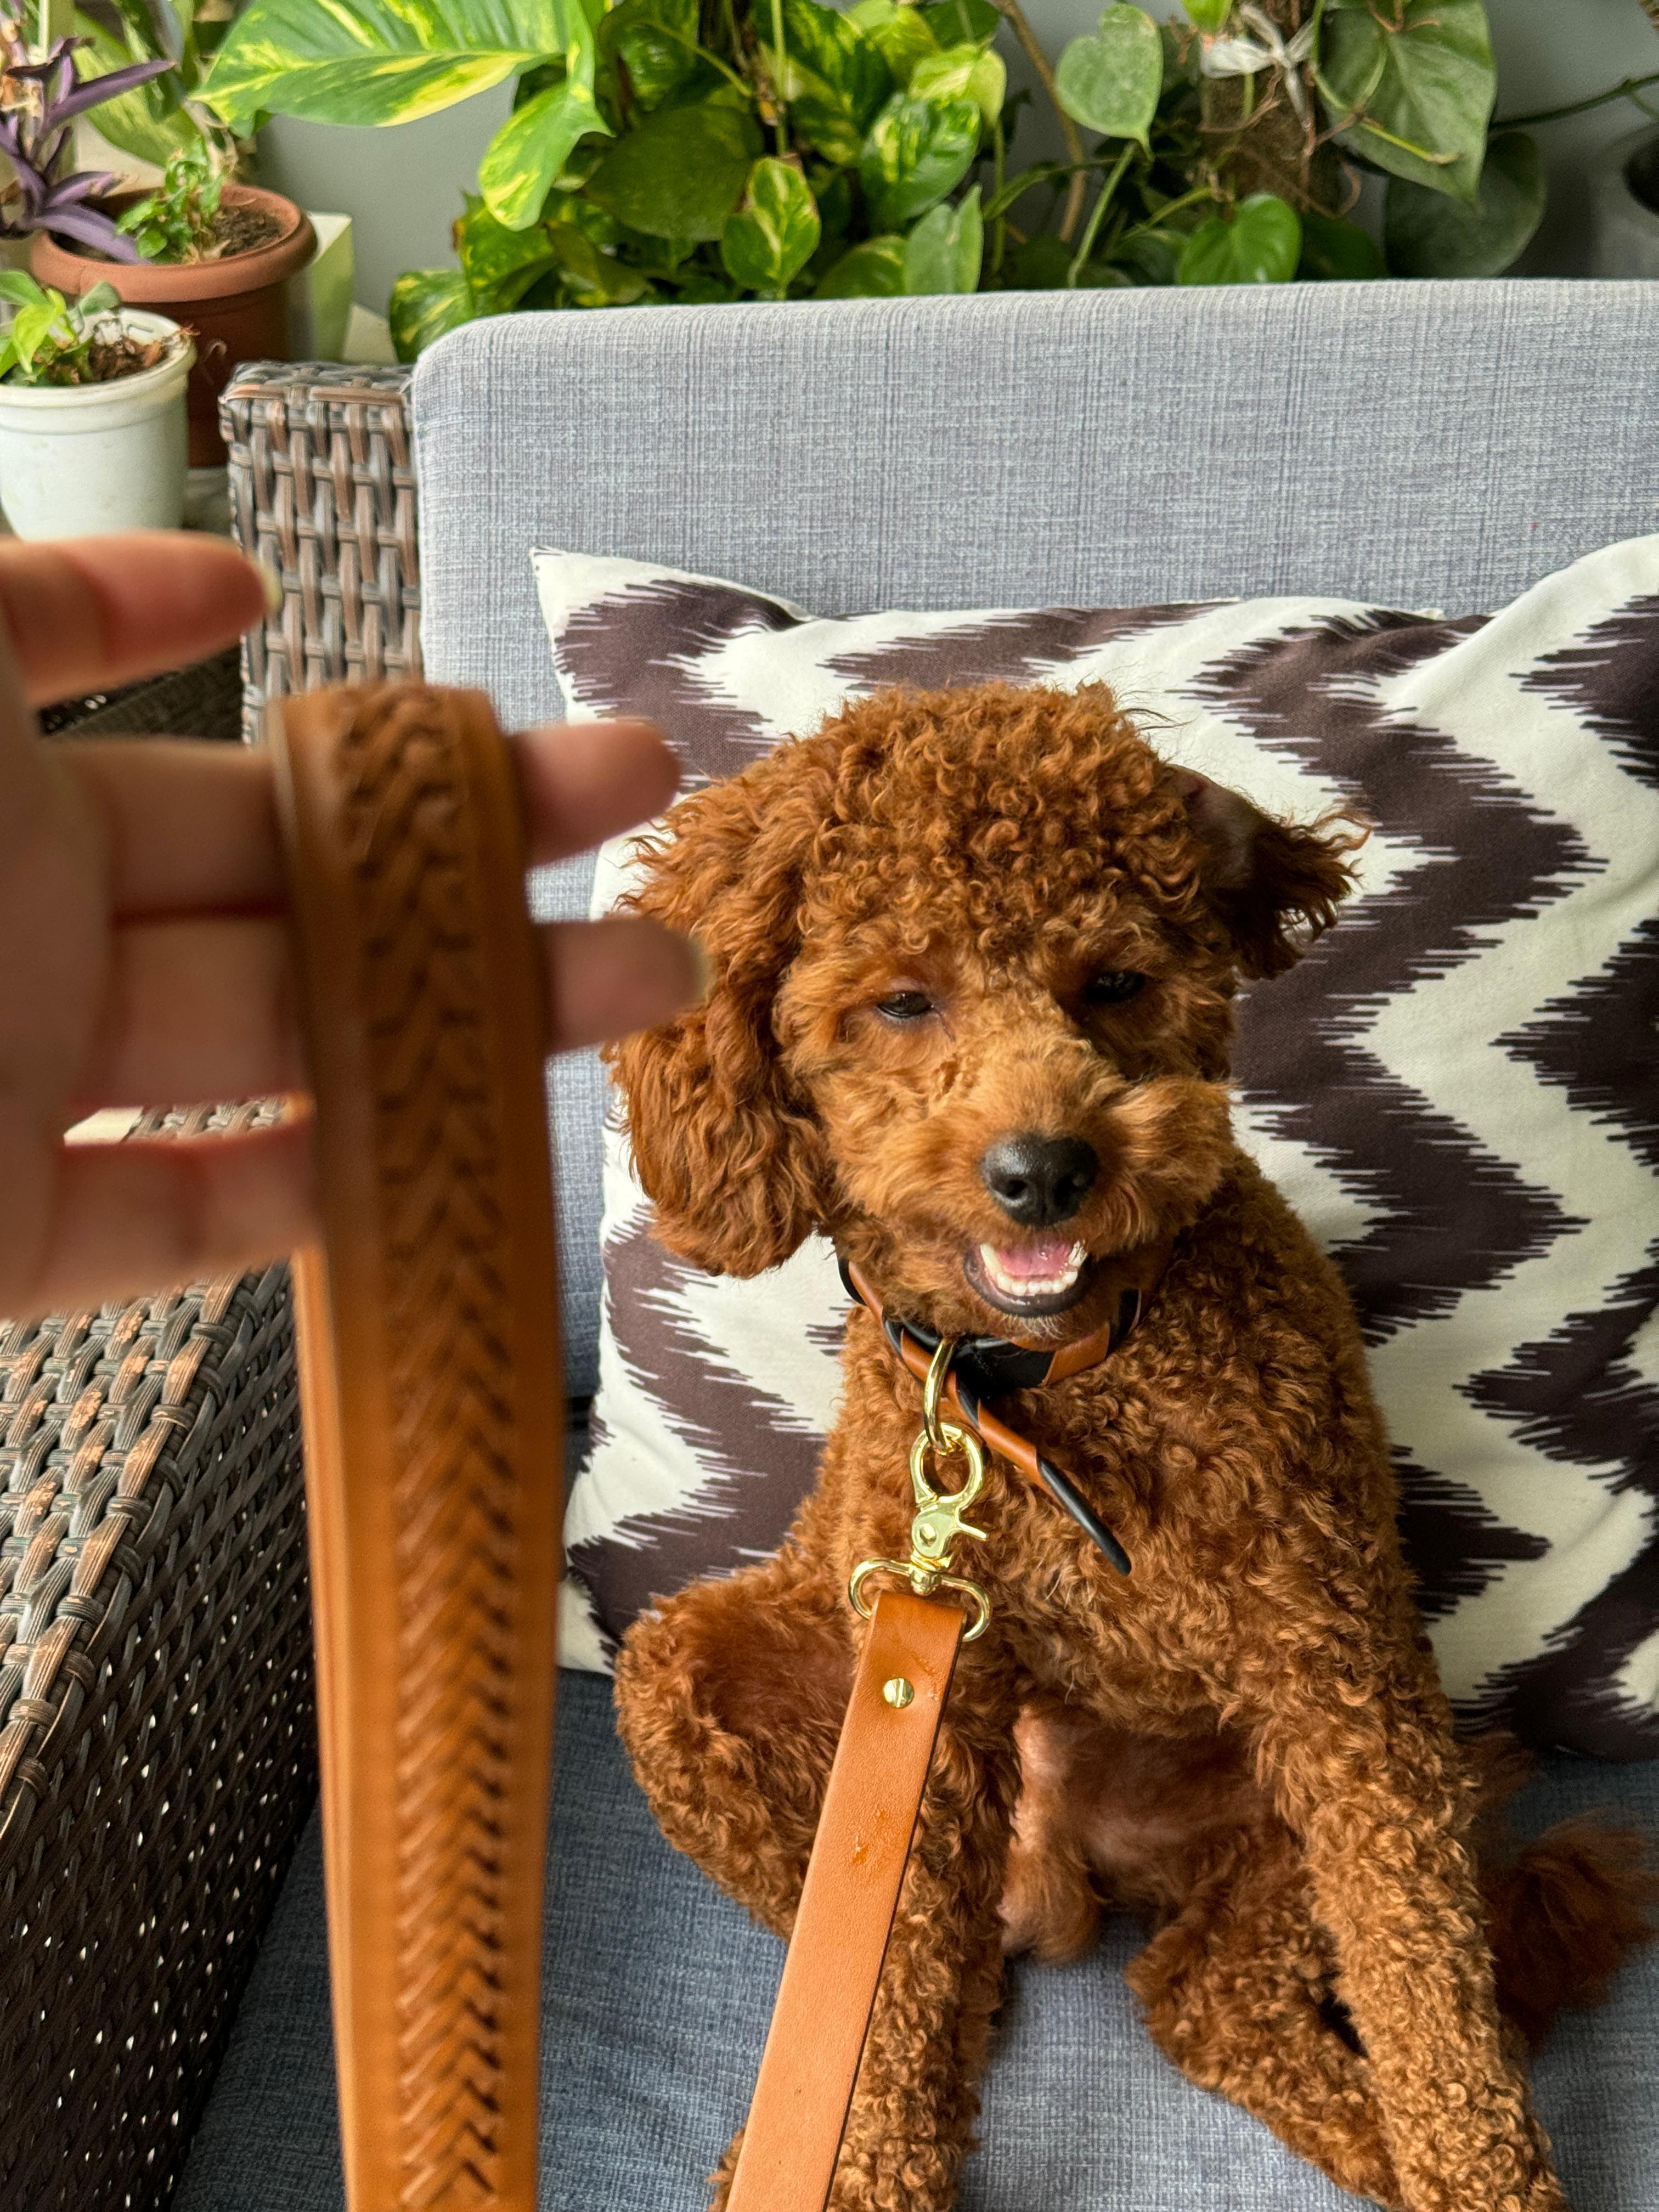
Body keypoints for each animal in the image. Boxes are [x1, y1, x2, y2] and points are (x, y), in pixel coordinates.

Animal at [610, 681, 1659, 2203]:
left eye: (1113, 982)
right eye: (902, 1000)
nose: (1044, 1169)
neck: (1047, 1387)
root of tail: (1068, 1868)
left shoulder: (1346, 1690)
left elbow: (1431, 2003)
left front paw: (1479, 2173)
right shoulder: (924, 1731)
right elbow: (887, 2003)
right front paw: (865, 2159)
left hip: (1387, 1775)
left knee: (1202, 1992)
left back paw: (1377, 2139)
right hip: (704, 1672)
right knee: (956, 1975)